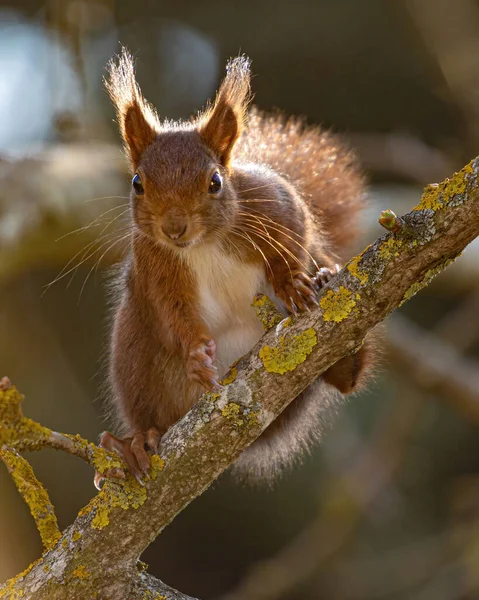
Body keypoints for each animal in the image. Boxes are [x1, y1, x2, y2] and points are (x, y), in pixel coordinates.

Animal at [99, 49, 376, 486]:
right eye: (137, 183)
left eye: (215, 181)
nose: (174, 228)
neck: (204, 245)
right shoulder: (154, 265)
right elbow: (172, 311)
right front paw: (195, 354)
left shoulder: (275, 203)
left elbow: (294, 239)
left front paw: (291, 284)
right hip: (134, 357)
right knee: (149, 412)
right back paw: (136, 444)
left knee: (345, 381)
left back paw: (330, 295)